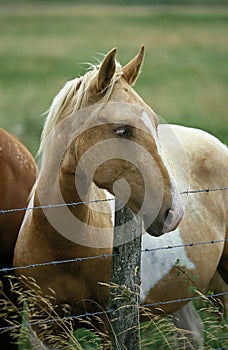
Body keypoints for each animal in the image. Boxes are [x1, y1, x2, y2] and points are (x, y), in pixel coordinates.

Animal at [13, 47, 227, 348]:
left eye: (155, 123)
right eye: (122, 130)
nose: (175, 213)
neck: (61, 249)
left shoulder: (111, 321)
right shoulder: (43, 326)